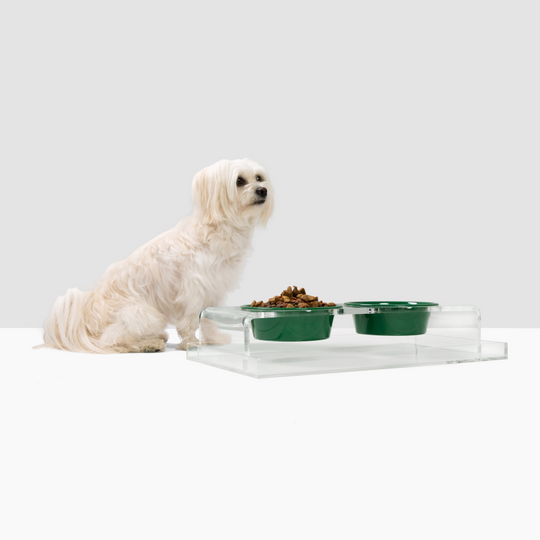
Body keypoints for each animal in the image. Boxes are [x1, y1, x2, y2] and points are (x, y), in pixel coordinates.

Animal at [37, 158, 274, 352]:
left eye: (259, 177)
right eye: (239, 181)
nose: (263, 190)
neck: (216, 229)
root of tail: (86, 316)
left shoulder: (214, 289)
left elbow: (207, 319)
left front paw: (214, 339)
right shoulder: (194, 289)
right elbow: (191, 320)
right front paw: (190, 344)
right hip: (143, 314)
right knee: (110, 340)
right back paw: (147, 344)